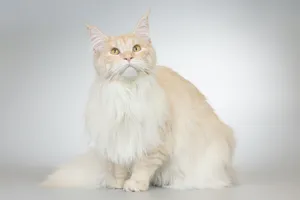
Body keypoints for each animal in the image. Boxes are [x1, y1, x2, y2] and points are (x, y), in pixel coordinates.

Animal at [40, 11, 237, 192]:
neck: (128, 93)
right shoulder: (117, 138)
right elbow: (120, 166)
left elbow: (143, 165)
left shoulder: (154, 139)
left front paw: (135, 184)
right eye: (115, 51)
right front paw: (118, 183)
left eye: (136, 48)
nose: (128, 57)